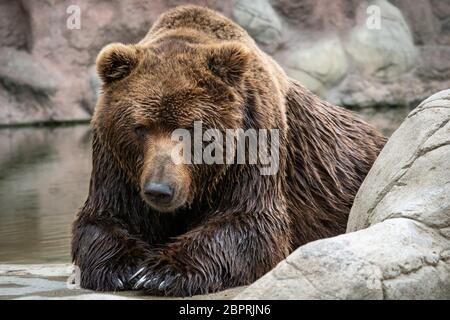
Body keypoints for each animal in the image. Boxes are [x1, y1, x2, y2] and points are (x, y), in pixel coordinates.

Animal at [72, 5, 384, 296]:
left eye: (189, 128)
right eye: (140, 127)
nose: (159, 189)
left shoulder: (253, 144)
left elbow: (249, 222)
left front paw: (162, 272)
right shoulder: (115, 160)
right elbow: (103, 218)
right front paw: (125, 266)